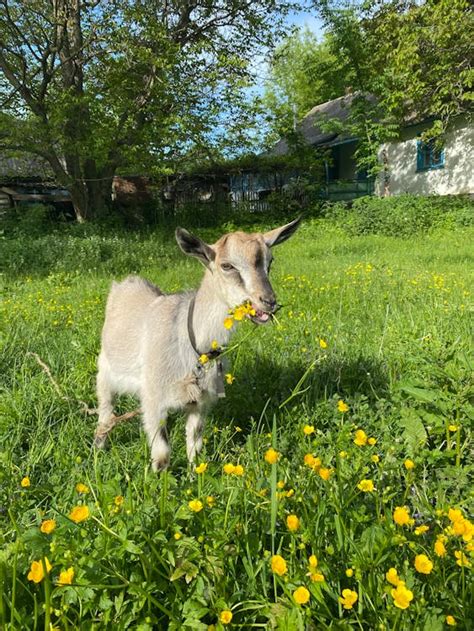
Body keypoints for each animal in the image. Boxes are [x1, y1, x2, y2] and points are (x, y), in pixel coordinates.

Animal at [94, 217, 300, 470]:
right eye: (227, 266)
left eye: (270, 261)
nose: (268, 302)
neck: (191, 341)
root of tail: (126, 282)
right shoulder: (153, 398)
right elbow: (162, 453)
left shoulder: (200, 401)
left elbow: (195, 442)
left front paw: (196, 473)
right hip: (105, 371)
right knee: (105, 411)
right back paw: (99, 447)